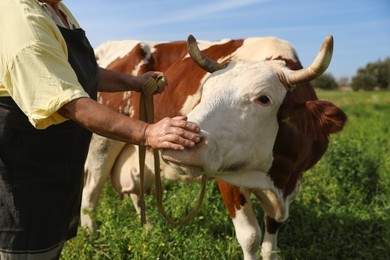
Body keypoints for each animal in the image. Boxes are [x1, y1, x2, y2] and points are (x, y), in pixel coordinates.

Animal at [80, 35, 346, 260]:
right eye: (205, 91)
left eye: (264, 99)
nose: (180, 142)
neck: (276, 177)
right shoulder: (228, 177)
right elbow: (251, 237)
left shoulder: (291, 182)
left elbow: (271, 242)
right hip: (100, 143)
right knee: (91, 190)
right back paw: (91, 236)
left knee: (137, 190)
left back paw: (148, 228)